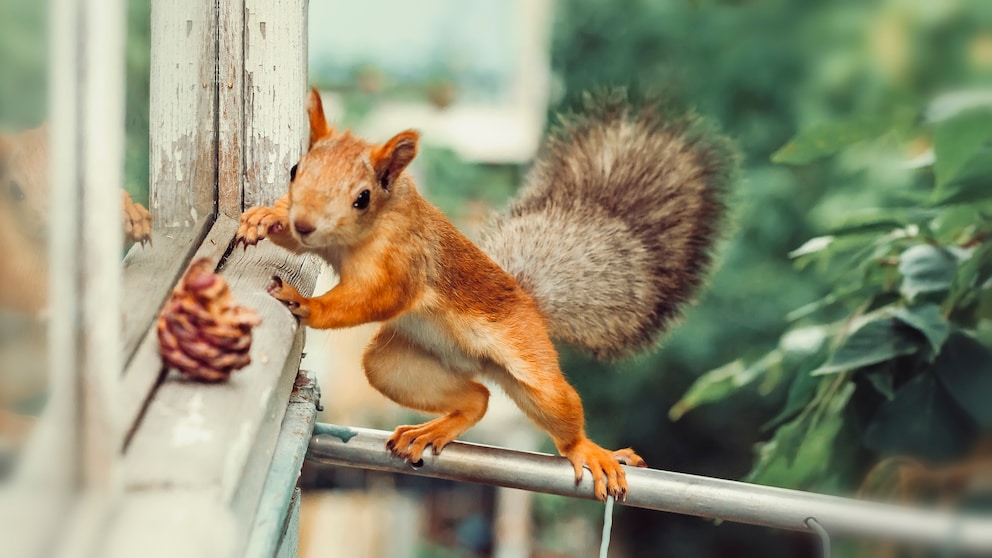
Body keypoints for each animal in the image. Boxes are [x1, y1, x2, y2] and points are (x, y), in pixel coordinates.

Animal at [234, 88, 736, 504]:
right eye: (294, 170)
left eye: (362, 198)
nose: (304, 222)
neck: (359, 234)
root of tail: (529, 303)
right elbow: (295, 243)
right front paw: (264, 219)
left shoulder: (404, 263)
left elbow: (375, 298)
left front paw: (308, 304)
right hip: (397, 365)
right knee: (476, 397)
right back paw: (433, 428)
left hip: (531, 366)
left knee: (556, 412)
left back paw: (589, 450)